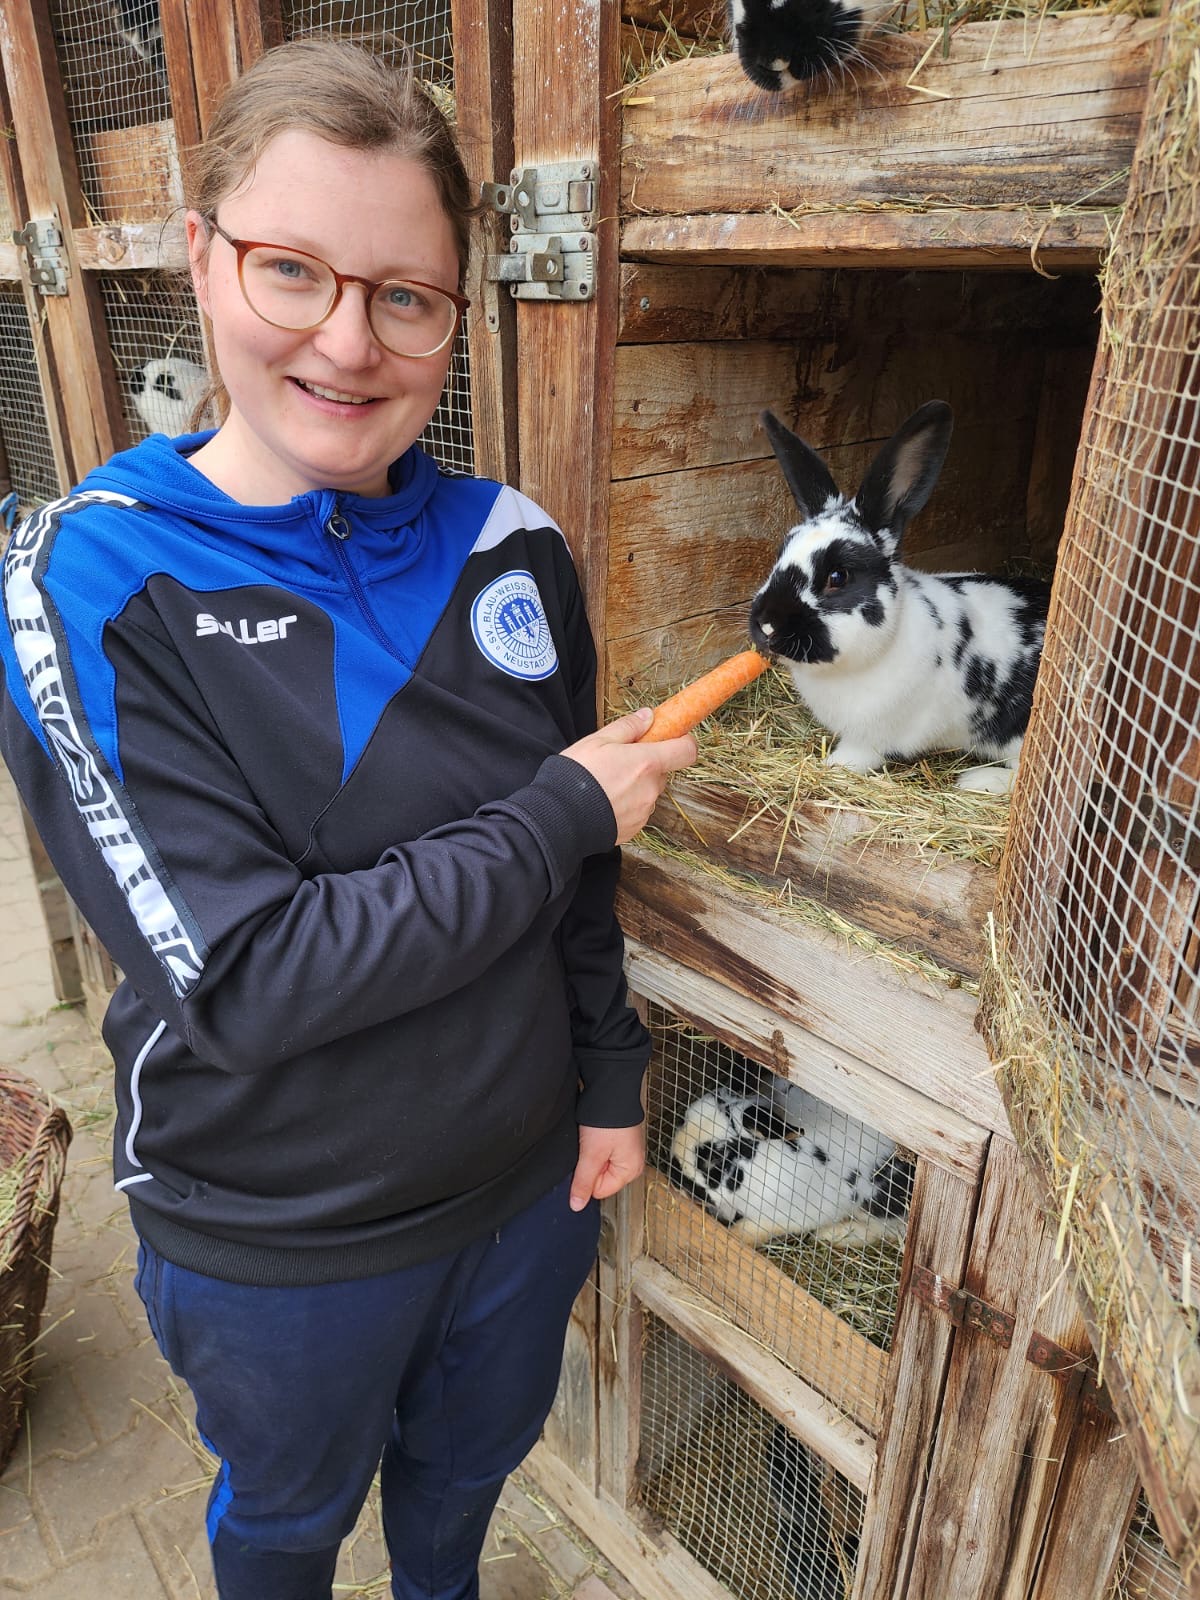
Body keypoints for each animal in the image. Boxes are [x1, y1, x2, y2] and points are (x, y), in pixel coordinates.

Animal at [669, 1086, 911, 1247]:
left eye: (719, 1157)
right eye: (685, 1117)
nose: (674, 1174)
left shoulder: (785, 1217)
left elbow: (744, 1233)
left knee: (888, 1230)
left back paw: (832, 1235)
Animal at [748, 402, 1051, 795]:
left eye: (837, 577)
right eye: (780, 553)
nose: (767, 625)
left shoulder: (872, 738)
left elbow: (856, 757)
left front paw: (832, 766)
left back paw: (976, 780)